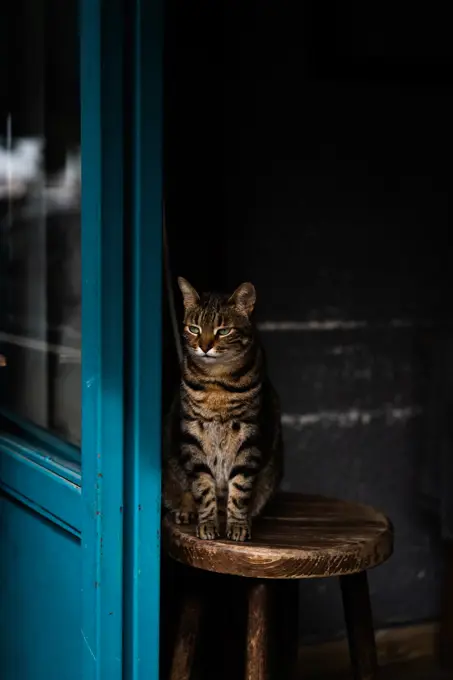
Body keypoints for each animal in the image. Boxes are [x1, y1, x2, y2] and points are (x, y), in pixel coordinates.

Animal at [162, 276, 282, 540]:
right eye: (194, 329)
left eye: (224, 331)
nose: (205, 347)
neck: (217, 382)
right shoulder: (193, 433)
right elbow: (202, 486)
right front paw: (207, 523)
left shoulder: (249, 435)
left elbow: (240, 488)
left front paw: (237, 524)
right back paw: (187, 510)